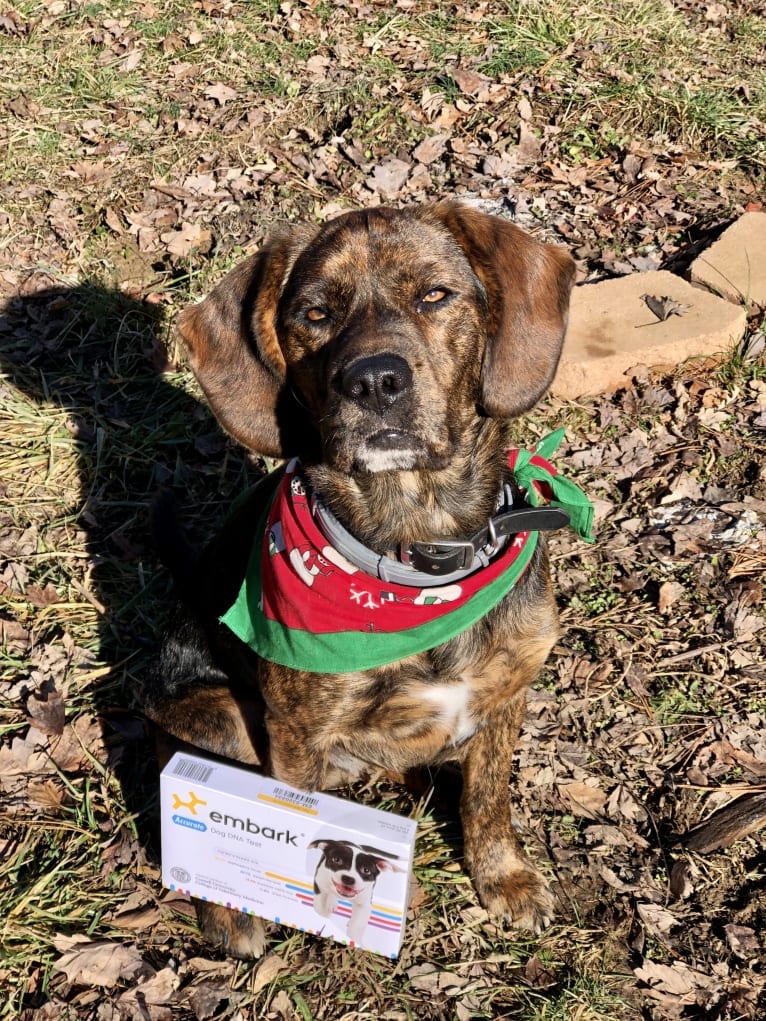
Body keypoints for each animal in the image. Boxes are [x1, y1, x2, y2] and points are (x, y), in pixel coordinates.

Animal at [145, 201, 576, 955]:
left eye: (435, 294)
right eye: (315, 313)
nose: (374, 381)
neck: (416, 553)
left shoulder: (505, 693)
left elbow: (488, 797)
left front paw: (504, 876)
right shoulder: (295, 734)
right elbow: (297, 821)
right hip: (217, 714)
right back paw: (232, 910)